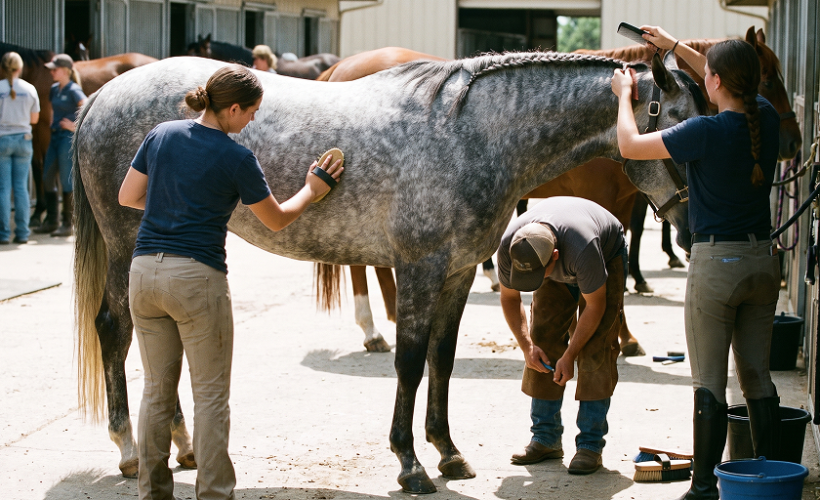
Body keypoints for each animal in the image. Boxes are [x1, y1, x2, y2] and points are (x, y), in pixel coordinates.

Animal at [73, 51, 700, 491]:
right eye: (678, 125)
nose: (693, 233)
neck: (474, 135)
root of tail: (100, 96)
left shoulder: (458, 273)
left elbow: (442, 363)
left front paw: (448, 453)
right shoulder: (420, 270)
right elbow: (409, 363)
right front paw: (410, 465)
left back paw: (180, 447)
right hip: (129, 244)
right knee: (115, 329)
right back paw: (130, 451)